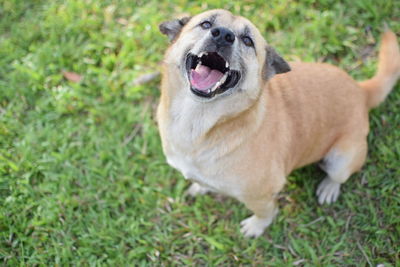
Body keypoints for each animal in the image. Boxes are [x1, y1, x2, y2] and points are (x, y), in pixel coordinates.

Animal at [157, 8, 400, 239]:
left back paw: (329, 187)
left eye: (248, 40)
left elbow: (266, 213)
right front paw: (199, 187)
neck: (197, 121)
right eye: (206, 24)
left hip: (340, 159)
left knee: (338, 176)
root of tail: (361, 89)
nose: (223, 35)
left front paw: (256, 227)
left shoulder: (262, 195)